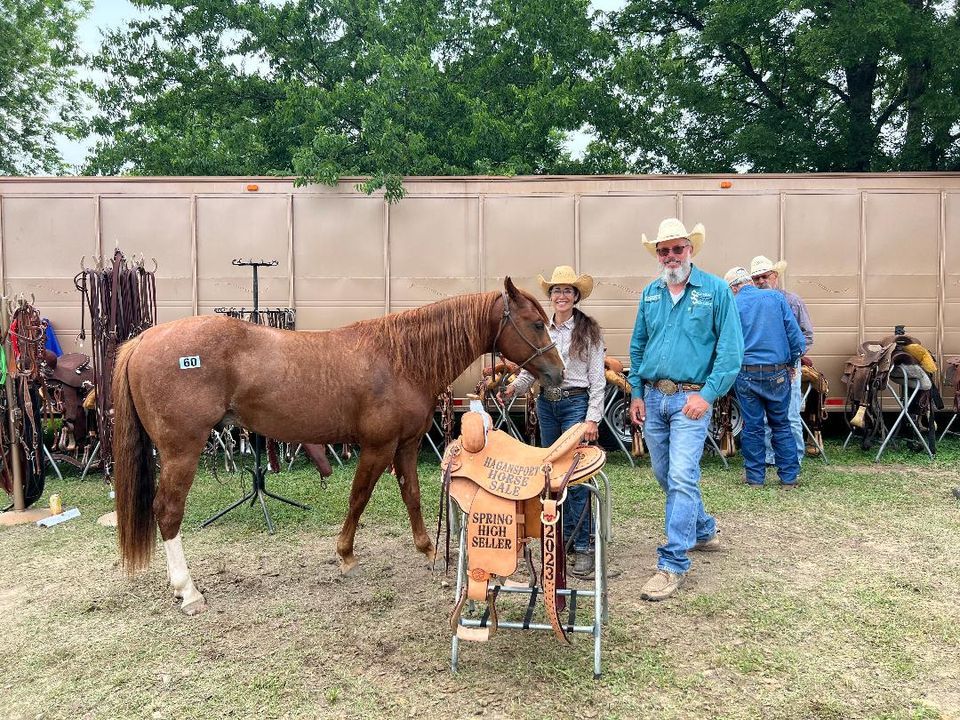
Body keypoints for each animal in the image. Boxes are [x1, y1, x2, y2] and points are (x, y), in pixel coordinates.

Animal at [112, 278, 564, 614]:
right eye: (535, 323)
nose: (558, 373)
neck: (400, 358)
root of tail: (143, 341)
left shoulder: (406, 445)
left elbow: (412, 495)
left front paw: (428, 549)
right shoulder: (378, 447)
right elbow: (359, 496)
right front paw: (346, 554)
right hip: (181, 451)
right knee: (168, 512)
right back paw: (188, 592)